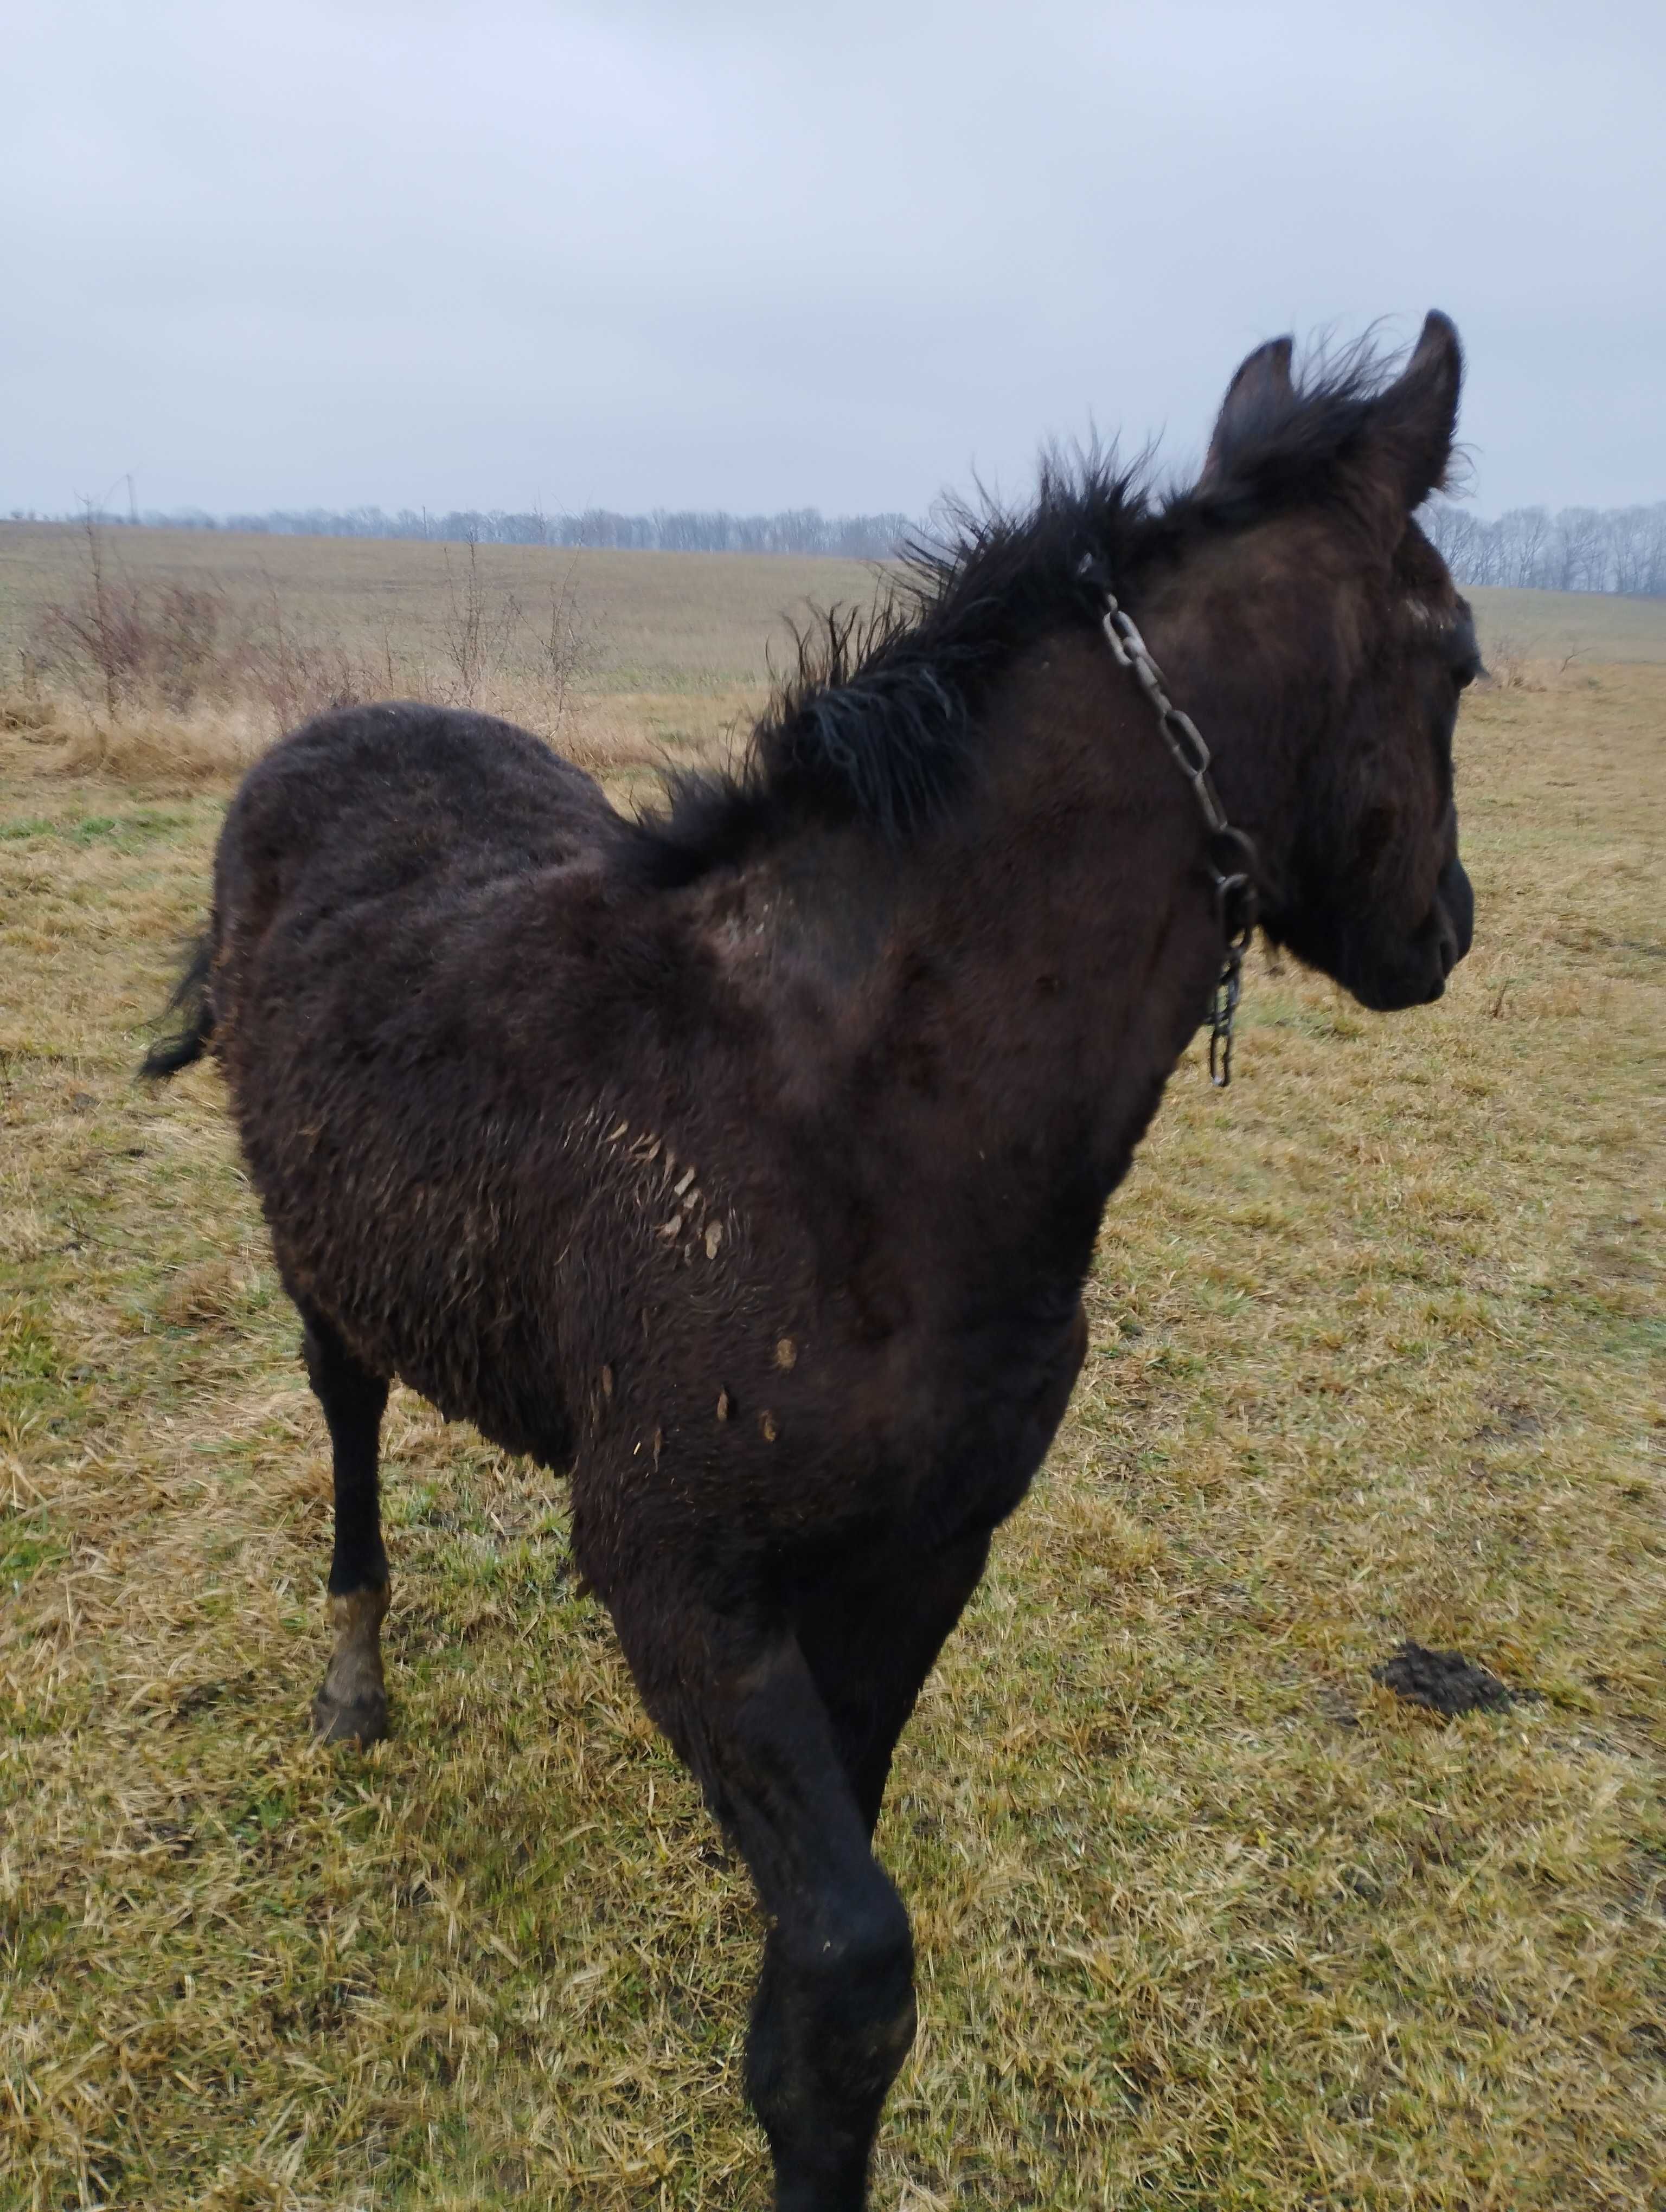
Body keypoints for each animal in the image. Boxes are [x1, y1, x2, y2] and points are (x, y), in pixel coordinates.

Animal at [136, 316, 1478, 2212]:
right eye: (1464, 662)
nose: (1444, 930)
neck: (854, 1122)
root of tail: (315, 744)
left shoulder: (922, 1558)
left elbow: (834, 1925)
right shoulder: (678, 1576)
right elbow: (854, 1976)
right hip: (323, 1254)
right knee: (346, 1418)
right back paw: (353, 1679)